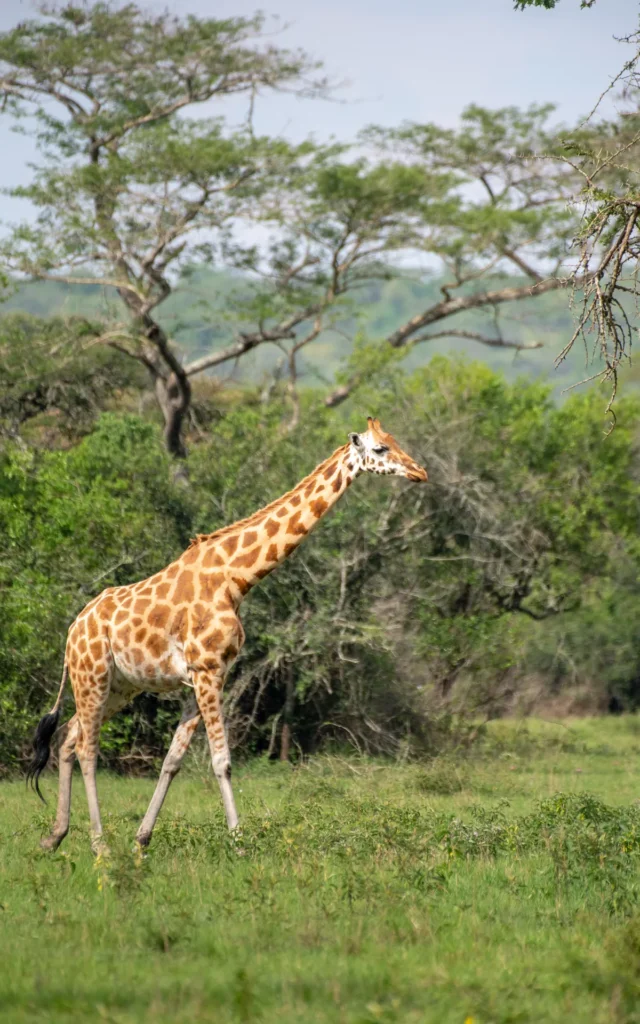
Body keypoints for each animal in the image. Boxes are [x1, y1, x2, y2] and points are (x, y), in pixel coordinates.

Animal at [27, 417, 427, 853]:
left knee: (68, 737)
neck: (236, 579)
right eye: (380, 449)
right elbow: (222, 761)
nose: (420, 472)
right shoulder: (207, 671)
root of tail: (72, 630)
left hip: (119, 686)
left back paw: (55, 836)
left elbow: (173, 761)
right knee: (86, 746)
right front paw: (238, 840)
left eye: (394, 441)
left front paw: (142, 840)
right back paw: (99, 845)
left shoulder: (199, 678)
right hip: (93, 677)